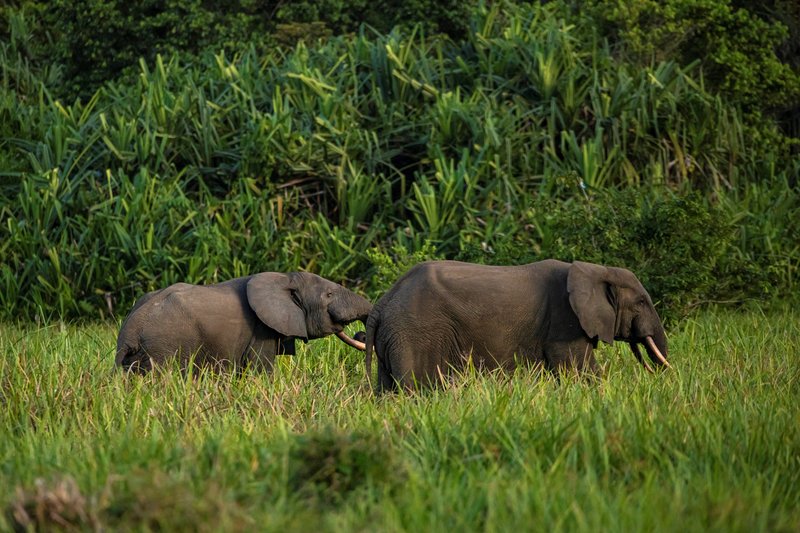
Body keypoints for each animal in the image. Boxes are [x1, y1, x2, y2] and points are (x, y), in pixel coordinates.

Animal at [115, 272, 372, 372]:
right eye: (329, 295)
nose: (360, 334)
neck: (285, 278)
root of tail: (129, 334)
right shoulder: (261, 330)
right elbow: (261, 370)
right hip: (163, 349)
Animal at [366, 258, 672, 390]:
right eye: (641, 302)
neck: (595, 269)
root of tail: (381, 304)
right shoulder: (564, 321)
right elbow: (579, 369)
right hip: (414, 334)